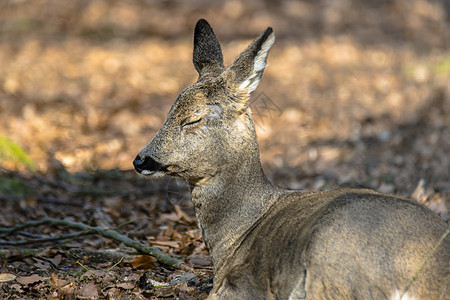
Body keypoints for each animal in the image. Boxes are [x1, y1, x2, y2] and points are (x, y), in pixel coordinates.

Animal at [134, 19, 450, 298]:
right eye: (169, 111)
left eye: (192, 119)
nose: (140, 160)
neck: (234, 236)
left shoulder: (241, 287)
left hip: (332, 258)